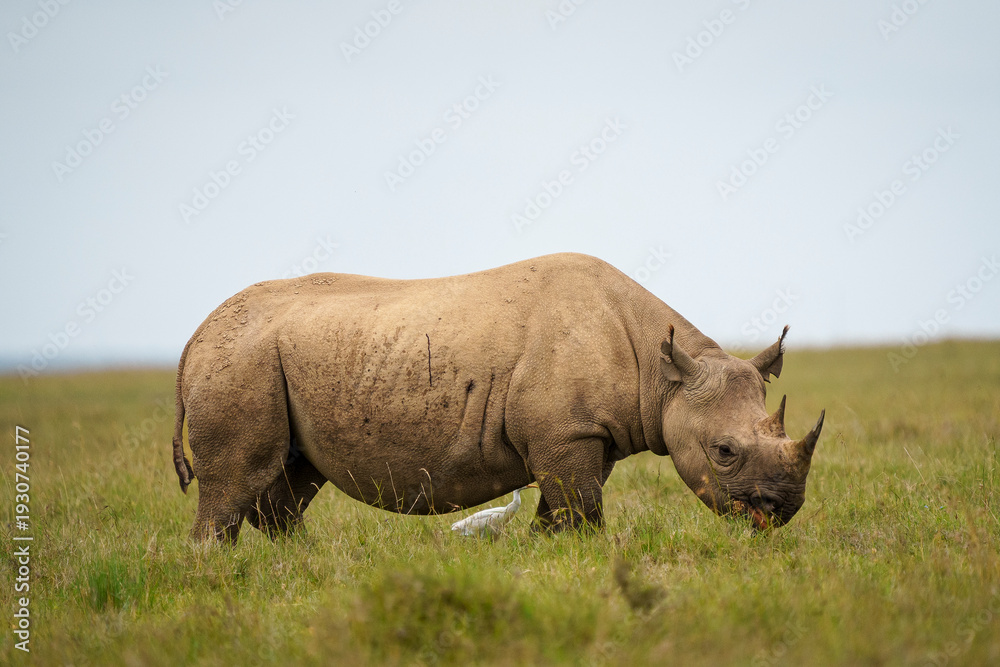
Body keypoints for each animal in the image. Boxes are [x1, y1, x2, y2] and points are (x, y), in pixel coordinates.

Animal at [172, 253, 824, 542]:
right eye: (723, 452)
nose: (782, 510)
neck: (662, 374)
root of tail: (194, 336)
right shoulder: (568, 432)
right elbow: (580, 507)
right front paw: (581, 556)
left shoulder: (586, 435)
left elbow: (564, 504)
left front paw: (543, 551)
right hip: (240, 359)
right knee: (236, 479)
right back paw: (221, 568)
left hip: (274, 358)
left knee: (295, 475)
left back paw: (303, 561)